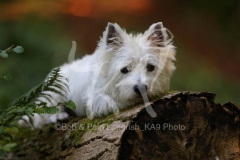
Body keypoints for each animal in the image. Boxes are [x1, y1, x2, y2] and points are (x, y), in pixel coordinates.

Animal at [19, 21, 176, 128]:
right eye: (124, 69)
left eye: (150, 67)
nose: (141, 88)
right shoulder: (95, 100)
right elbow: (117, 100)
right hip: (55, 92)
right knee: (42, 114)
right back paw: (58, 116)